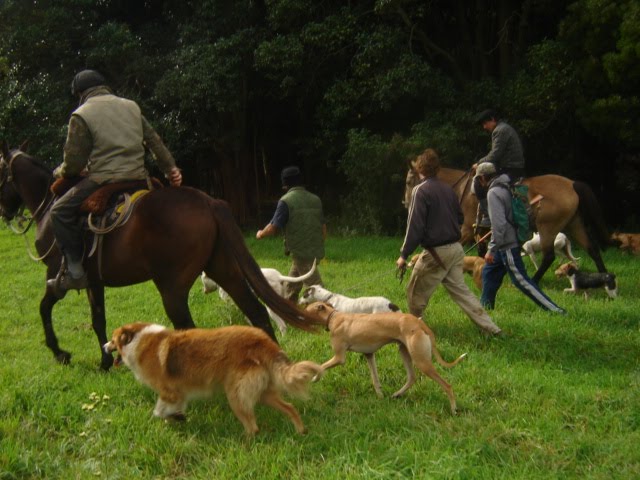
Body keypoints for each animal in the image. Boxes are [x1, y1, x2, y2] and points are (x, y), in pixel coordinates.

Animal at [0, 141, 320, 370]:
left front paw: (59, 352)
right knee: (257, 313)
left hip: (172, 288)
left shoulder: (56, 277)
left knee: (189, 329)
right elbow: (98, 319)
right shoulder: (94, 282)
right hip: (224, 270)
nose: (5, 212)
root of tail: (208, 201)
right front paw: (105, 362)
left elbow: (44, 308)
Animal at [107, 320, 324, 436]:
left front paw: (173, 417)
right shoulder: (180, 395)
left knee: (252, 426)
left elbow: (159, 411)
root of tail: (263, 342)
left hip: (236, 394)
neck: (137, 339)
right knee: (290, 407)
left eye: (112, 339)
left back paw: (245, 444)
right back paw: (300, 431)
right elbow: (170, 411)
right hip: (264, 392)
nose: (104, 346)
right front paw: (177, 418)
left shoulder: (169, 392)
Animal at [304, 302, 464, 414]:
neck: (334, 317)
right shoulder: (369, 355)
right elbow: (375, 380)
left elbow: (321, 366)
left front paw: (314, 378)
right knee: (411, 377)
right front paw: (380, 396)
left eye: (306, 310)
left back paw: (454, 409)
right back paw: (397, 394)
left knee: (447, 385)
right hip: (404, 351)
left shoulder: (339, 358)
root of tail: (419, 323)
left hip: (422, 361)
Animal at [404, 167, 608, 284]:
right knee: (593, 249)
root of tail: (572, 184)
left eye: (408, 181)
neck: (464, 190)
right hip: (574, 225)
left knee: (549, 256)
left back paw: (534, 279)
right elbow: (482, 250)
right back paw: (605, 279)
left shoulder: (466, 230)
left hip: (548, 228)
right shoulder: (481, 231)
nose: (406, 203)